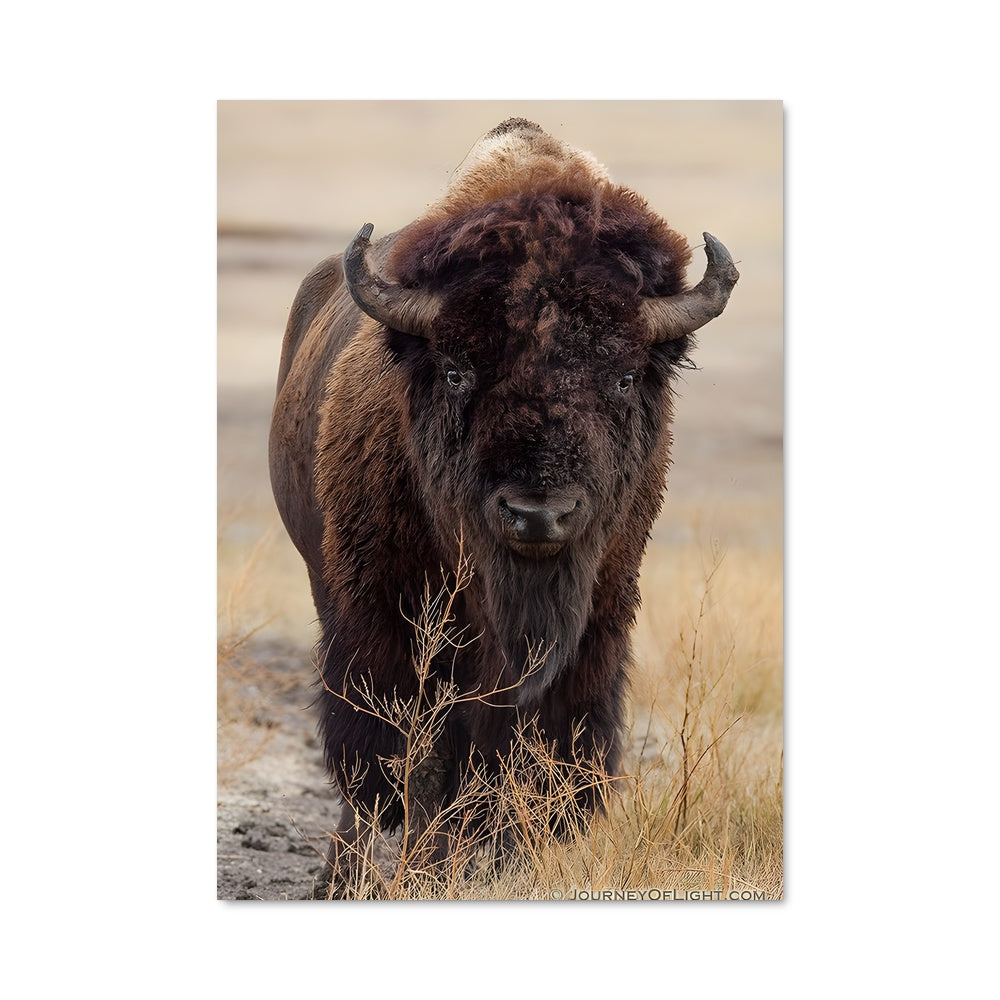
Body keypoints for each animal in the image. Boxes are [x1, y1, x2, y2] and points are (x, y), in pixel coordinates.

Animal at [268, 118, 738, 894]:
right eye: (458, 370)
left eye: (623, 376)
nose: (538, 514)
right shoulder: (387, 620)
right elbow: (414, 760)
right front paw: (427, 870)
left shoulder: (595, 623)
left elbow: (540, 750)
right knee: (371, 776)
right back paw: (345, 876)